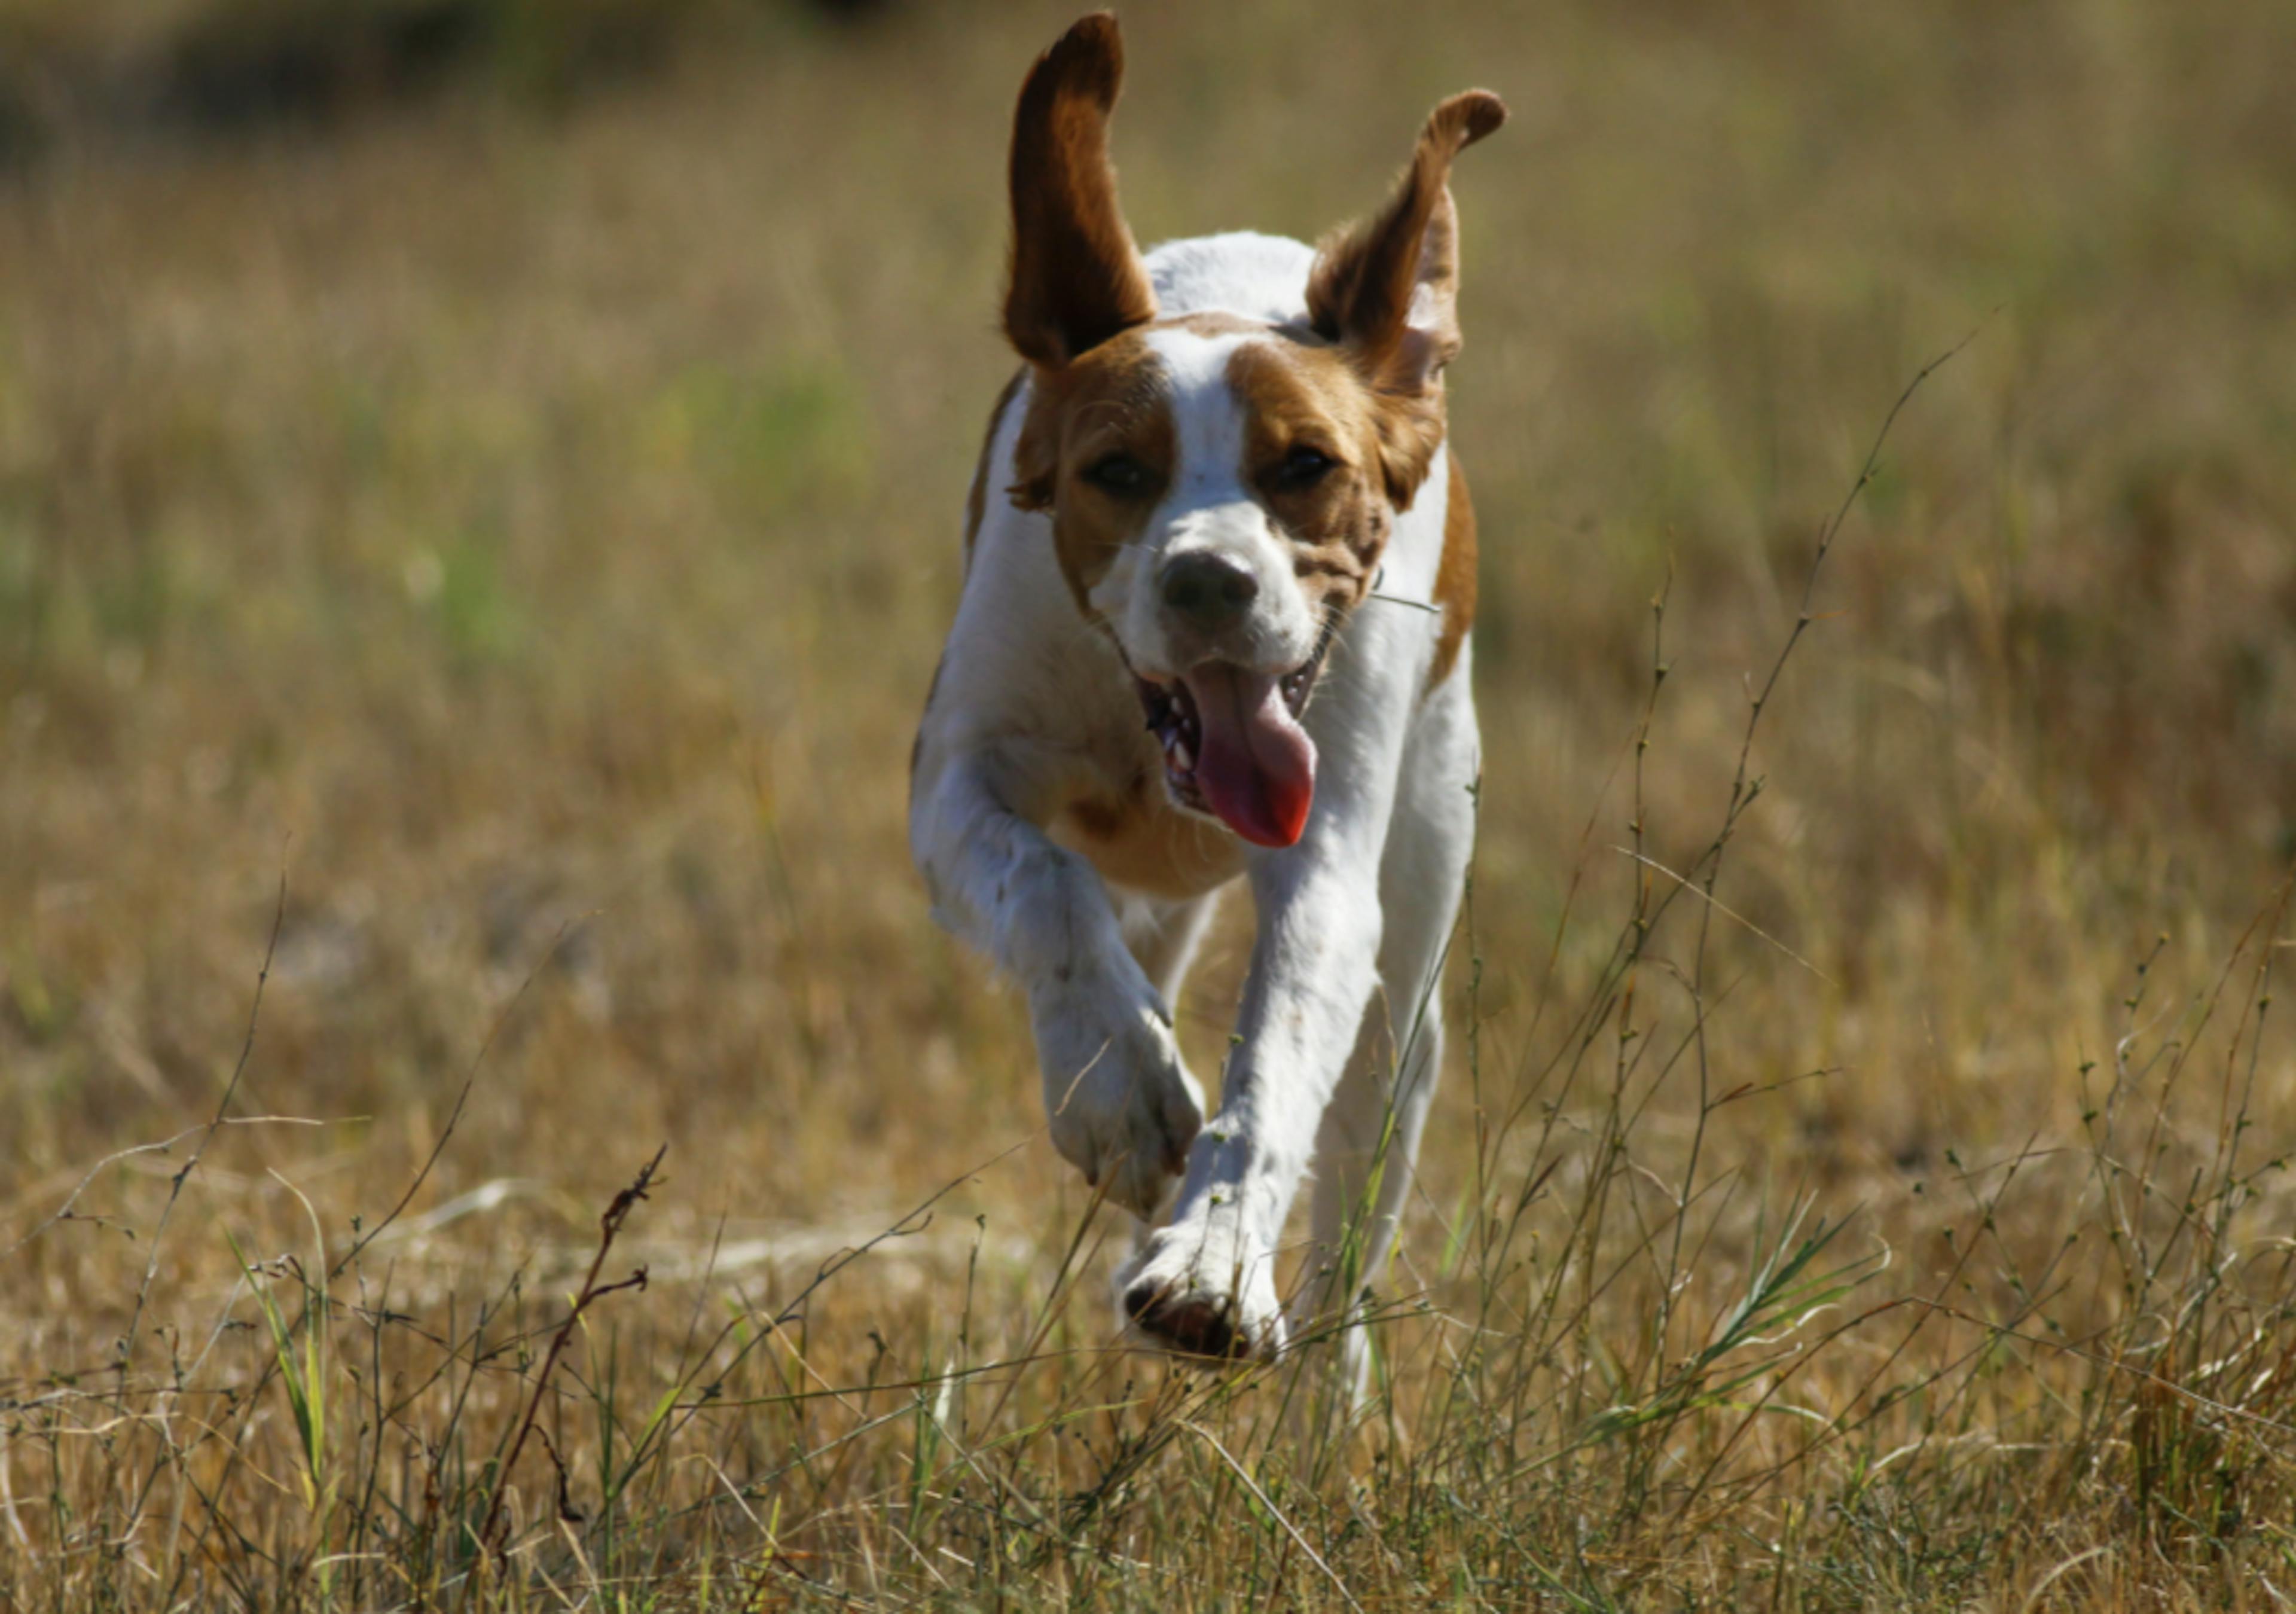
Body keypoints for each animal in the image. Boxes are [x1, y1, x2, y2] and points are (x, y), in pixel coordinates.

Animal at [914, 9, 1506, 1377]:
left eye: (1307, 465)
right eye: (1115, 470)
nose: (1207, 582)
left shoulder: (1327, 858)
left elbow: (1273, 1054)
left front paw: (1211, 1264)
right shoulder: (955, 776)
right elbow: (1044, 884)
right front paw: (1119, 1088)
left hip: (1409, 990)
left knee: (1354, 1212)